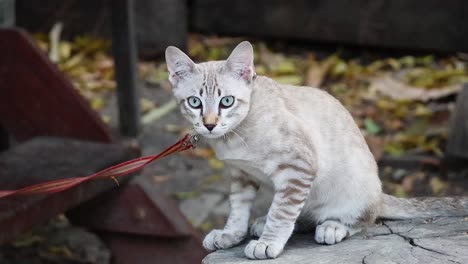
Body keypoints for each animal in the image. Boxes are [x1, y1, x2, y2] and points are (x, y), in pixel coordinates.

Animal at [165, 41, 468, 260]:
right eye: (194, 102)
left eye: (226, 101)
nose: (210, 124)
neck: (233, 137)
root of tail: (379, 194)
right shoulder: (241, 174)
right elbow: (238, 209)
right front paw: (231, 234)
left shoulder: (298, 167)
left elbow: (282, 213)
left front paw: (268, 243)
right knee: (302, 213)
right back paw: (263, 223)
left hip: (352, 187)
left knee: (364, 218)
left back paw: (333, 226)